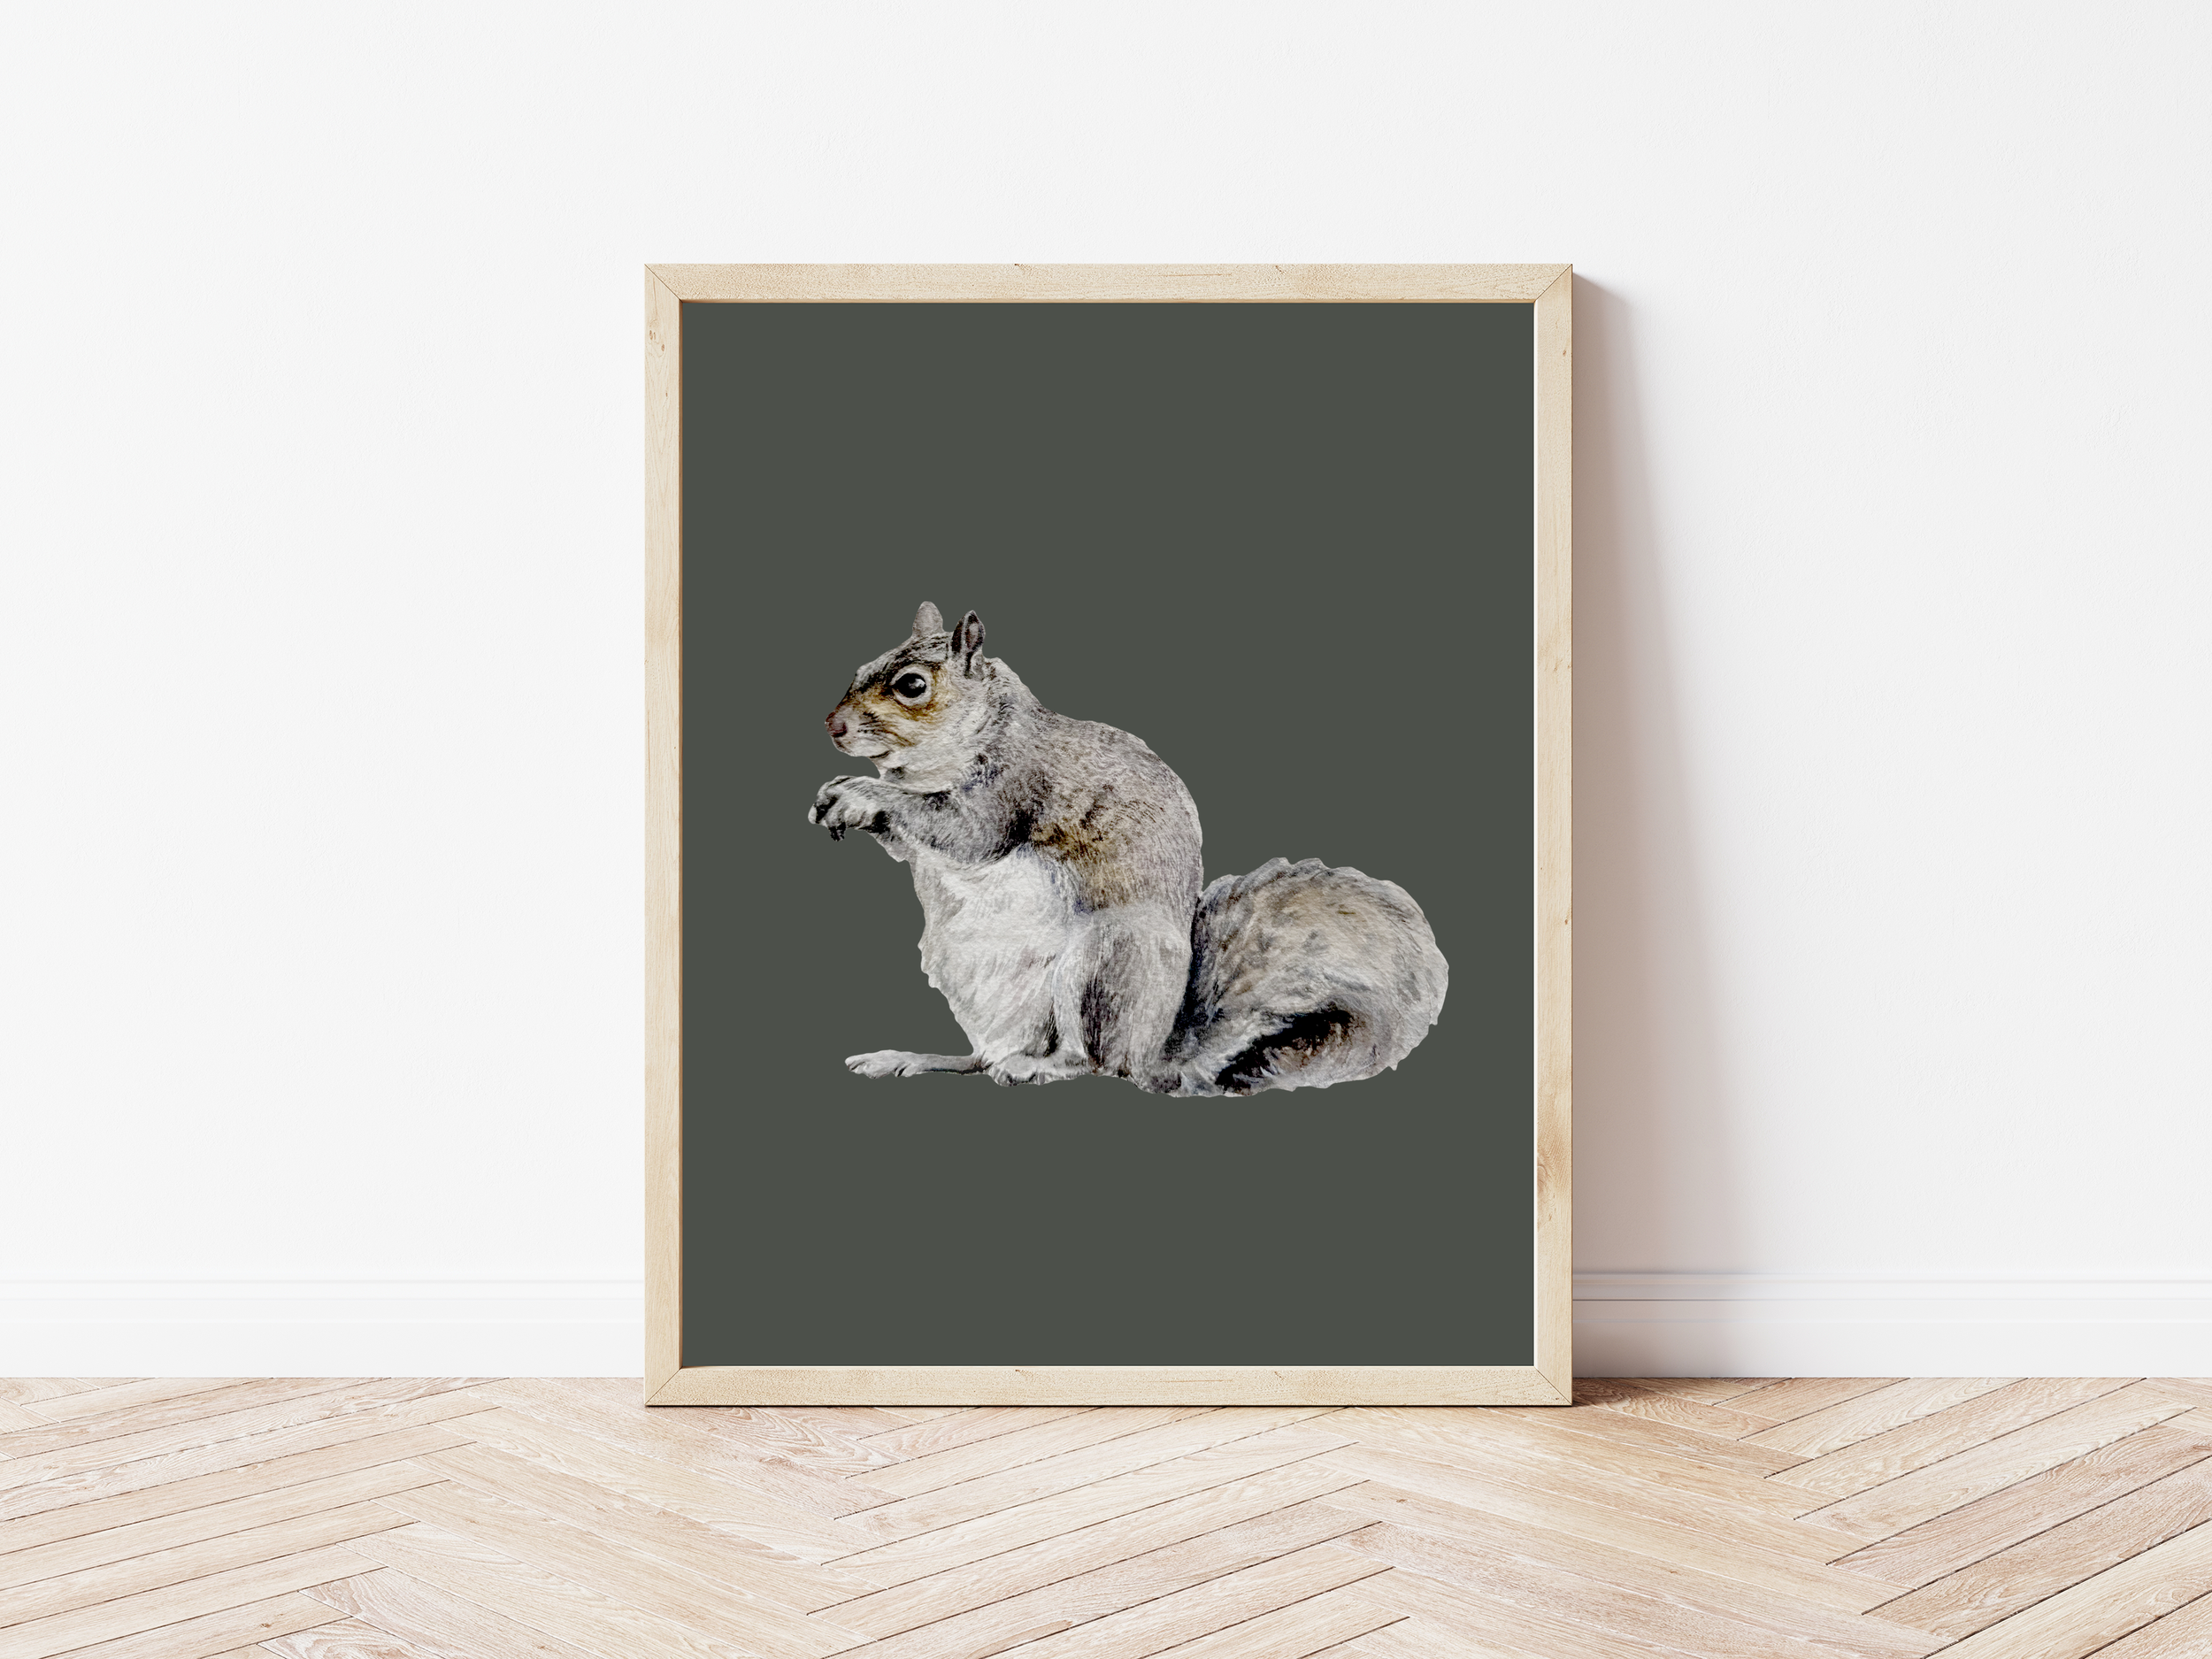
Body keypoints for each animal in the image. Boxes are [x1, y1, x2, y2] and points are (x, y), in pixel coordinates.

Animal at [808, 602, 1449, 1095]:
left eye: (913, 685)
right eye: (862, 666)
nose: (832, 726)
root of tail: (1154, 1053)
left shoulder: (1015, 786)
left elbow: (965, 831)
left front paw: (862, 793)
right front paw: (835, 797)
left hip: (1103, 963)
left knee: (1095, 1062)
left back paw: (1039, 1068)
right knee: (982, 1058)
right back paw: (914, 1058)